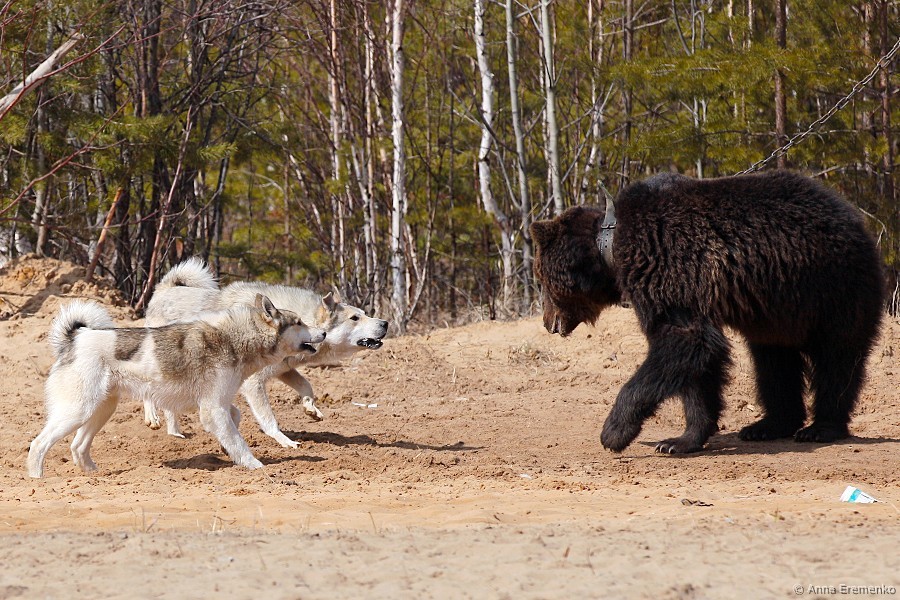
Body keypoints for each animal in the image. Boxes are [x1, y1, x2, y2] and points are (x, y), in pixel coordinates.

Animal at [27, 294, 326, 477]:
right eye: (299, 322)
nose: (323, 333)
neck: (235, 337)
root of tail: (74, 339)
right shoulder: (213, 408)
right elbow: (239, 442)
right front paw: (255, 466)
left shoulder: (218, 404)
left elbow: (235, 421)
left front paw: (225, 451)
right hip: (78, 411)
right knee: (38, 444)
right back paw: (38, 480)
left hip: (99, 410)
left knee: (77, 447)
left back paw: (93, 475)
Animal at [143, 258, 389, 449]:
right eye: (355, 318)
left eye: (364, 313)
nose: (385, 323)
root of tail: (164, 289)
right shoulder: (254, 383)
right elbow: (269, 421)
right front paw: (285, 441)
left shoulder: (285, 370)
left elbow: (307, 387)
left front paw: (311, 409)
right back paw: (154, 420)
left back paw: (175, 435)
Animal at [530, 170, 884, 454]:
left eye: (542, 280)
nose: (548, 322)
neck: (613, 250)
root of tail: (856, 219)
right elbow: (698, 365)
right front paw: (681, 439)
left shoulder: (667, 268)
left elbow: (684, 340)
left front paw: (614, 432)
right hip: (777, 312)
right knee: (773, 361)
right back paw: (768, 425)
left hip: (831, 288)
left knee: (836, 357)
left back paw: (820, 427)